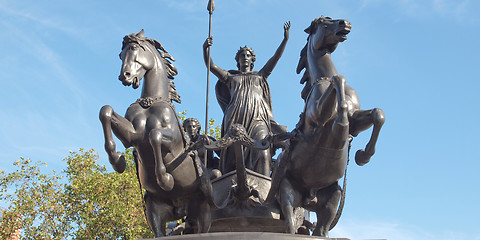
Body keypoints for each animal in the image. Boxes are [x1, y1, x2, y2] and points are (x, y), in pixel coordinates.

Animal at [100, 29, 213, 236]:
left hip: (203, 211)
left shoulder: (174, 142)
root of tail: (182, 210)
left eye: (134, 48)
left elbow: (155, 136)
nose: (125, 76)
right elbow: (106, 111)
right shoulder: (133, 135)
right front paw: (117, 160)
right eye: (120, 55)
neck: (150, 102)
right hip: (155, 211)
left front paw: (165, 179)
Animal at [266, 16, 386, 236]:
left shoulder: (357, 121)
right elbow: (339, 82)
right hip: (287, 194)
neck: (324, 77)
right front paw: (341, 126)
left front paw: (362, 155)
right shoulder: (318, 116)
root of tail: (309, 198)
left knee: (321, 230)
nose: (345, 23)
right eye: (324, 23)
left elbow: (377, 114)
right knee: (290, 225)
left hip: (332, 198)